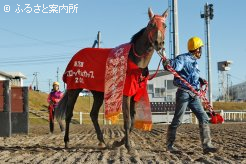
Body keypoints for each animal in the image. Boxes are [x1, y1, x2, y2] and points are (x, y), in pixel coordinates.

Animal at [55, 7, 167, 151]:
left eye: (164, 25)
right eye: (151, 24)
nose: (159, 43)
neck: (133, 63)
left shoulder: (134, 94)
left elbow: (133, 120)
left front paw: (118, 142)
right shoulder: (125, 94)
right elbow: (127, 120)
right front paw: (127, 145)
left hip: (98, 93)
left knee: (93, 114)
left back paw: (102, 141)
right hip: (74, 88)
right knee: (69, 114)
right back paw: (67, 141)